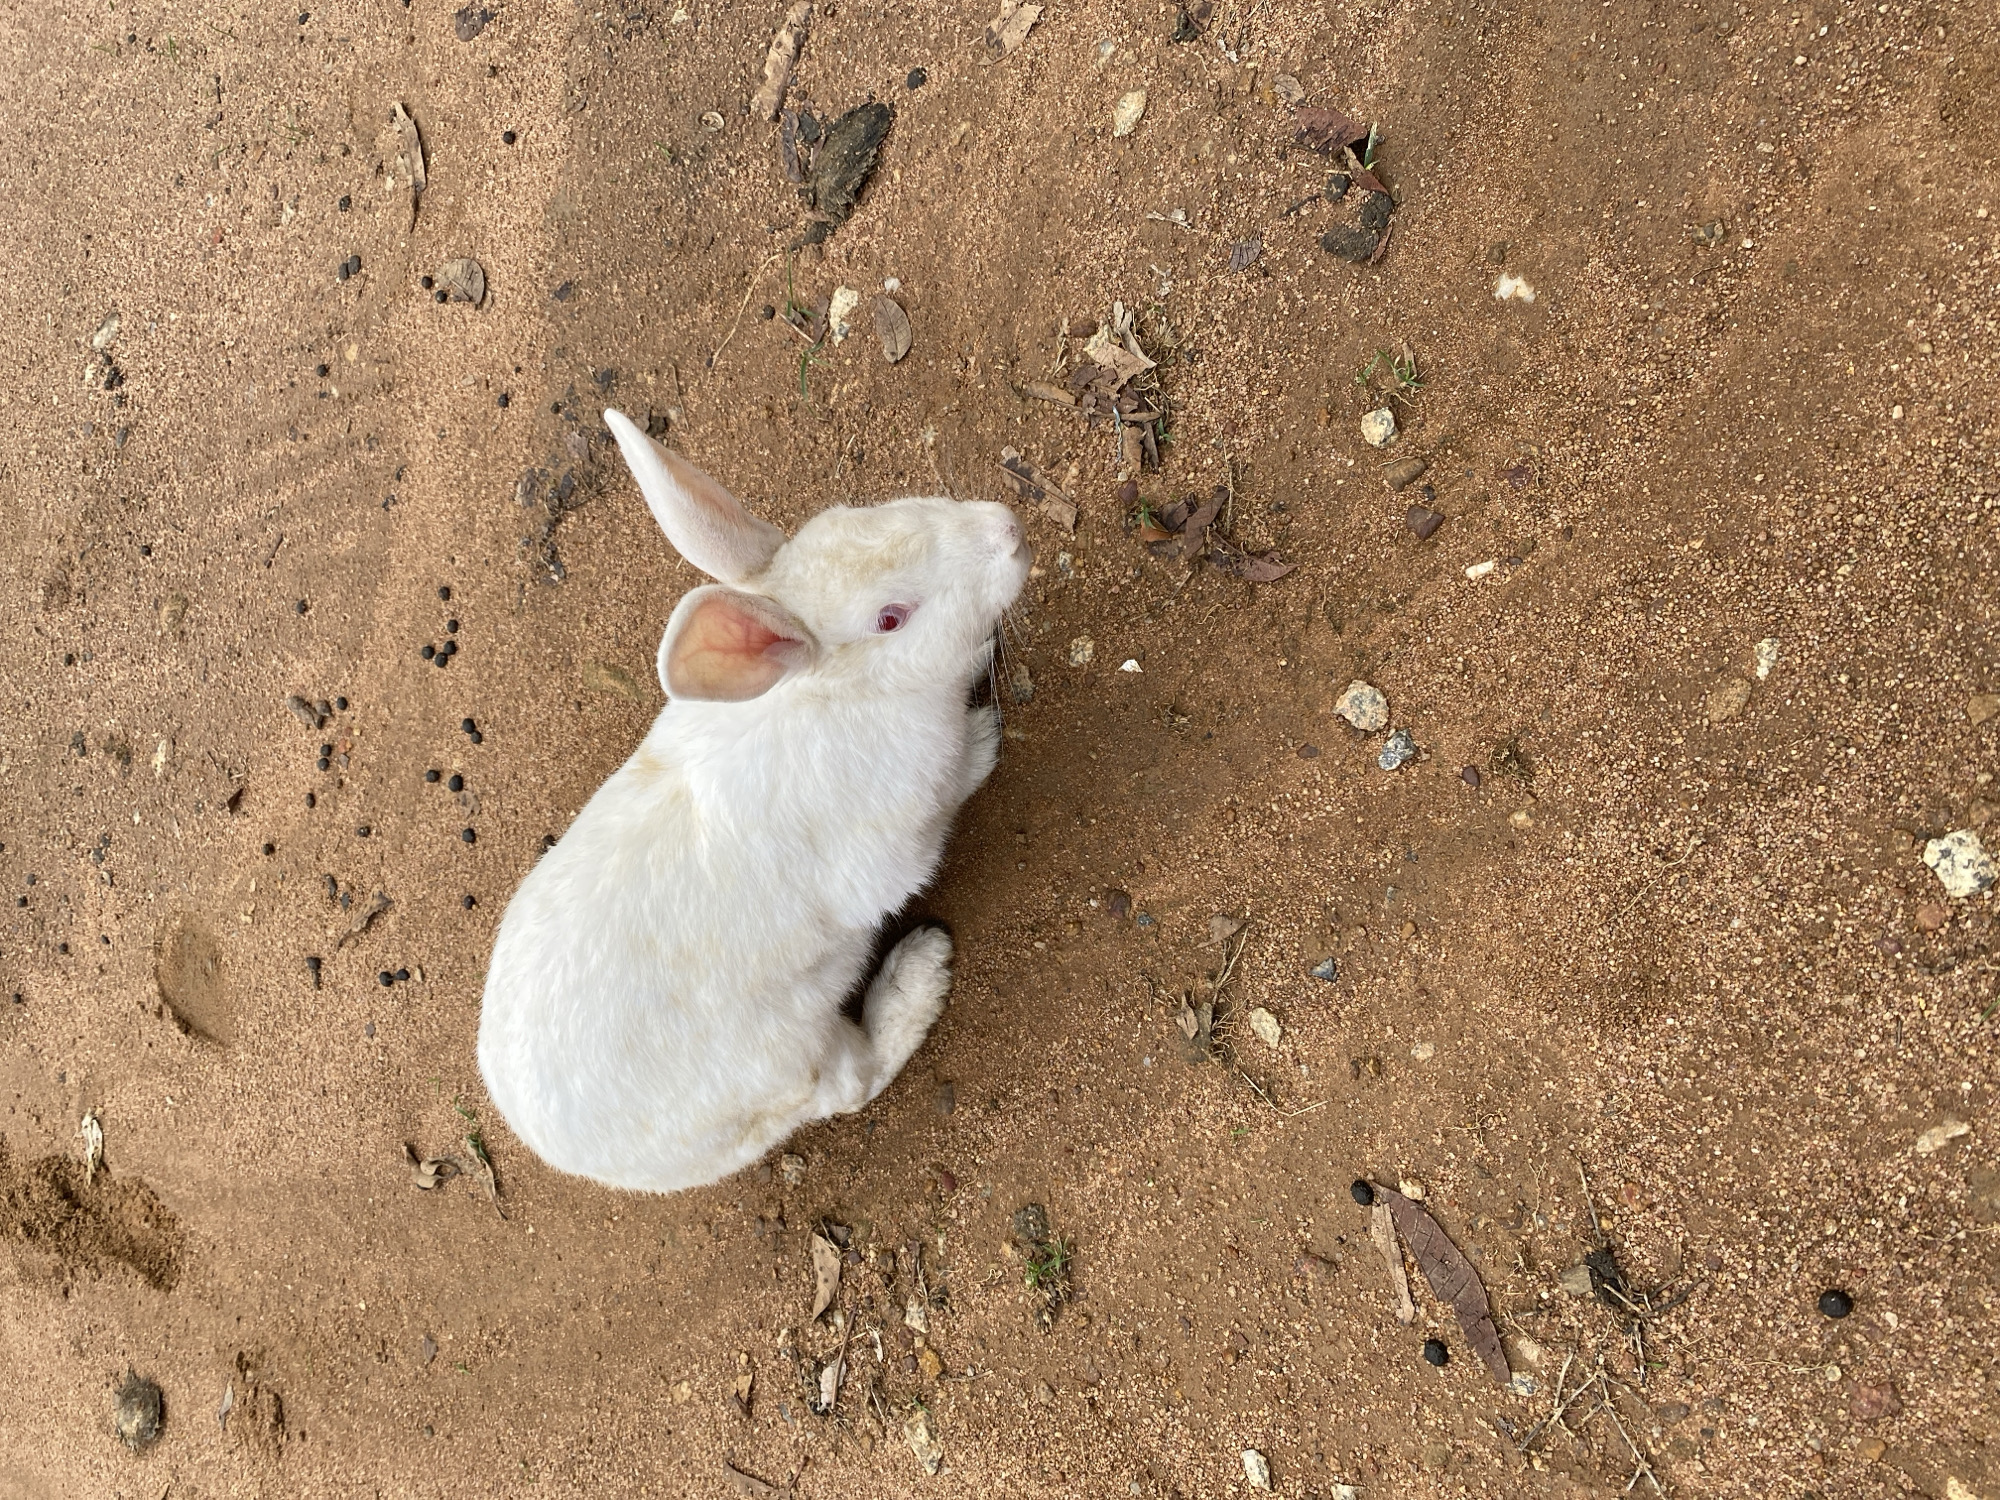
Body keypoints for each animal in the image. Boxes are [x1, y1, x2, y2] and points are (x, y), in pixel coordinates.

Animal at [476, 408, 1032, 1194]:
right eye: (892, 618)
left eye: (865, 510)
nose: (1007, 529)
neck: (842, 693)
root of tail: (574, 1154)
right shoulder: (893, 849)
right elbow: (949, 795)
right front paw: (983, 740)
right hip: (792, 1057)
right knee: (852, 1083)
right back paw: (920, 974)